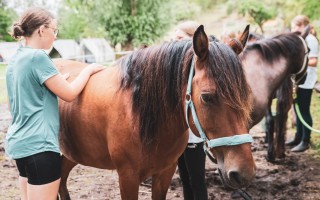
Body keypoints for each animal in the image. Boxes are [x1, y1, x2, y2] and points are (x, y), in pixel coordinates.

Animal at [54, 25, 255, 199]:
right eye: (206, 97)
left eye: (246, 93)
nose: (243, 173)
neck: (139, 113)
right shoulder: (127, 177)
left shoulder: (164, 173)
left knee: (61, 182)